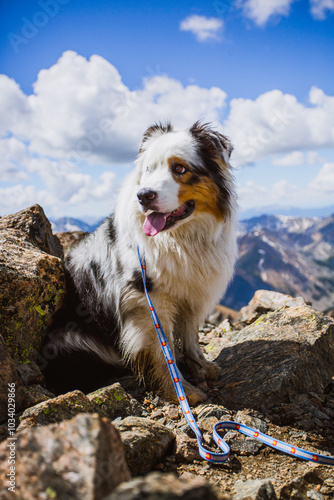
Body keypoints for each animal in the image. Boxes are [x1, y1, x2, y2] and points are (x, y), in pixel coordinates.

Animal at [43, 122, 239, 406]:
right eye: (148, 169)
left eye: (179, 168)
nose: (143, 196)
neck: (180, 239)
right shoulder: (149, 303)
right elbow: (164, 352)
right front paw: (182, 390)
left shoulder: (192, 294)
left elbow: (190, 337)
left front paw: (201, 366)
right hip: (72, 340)